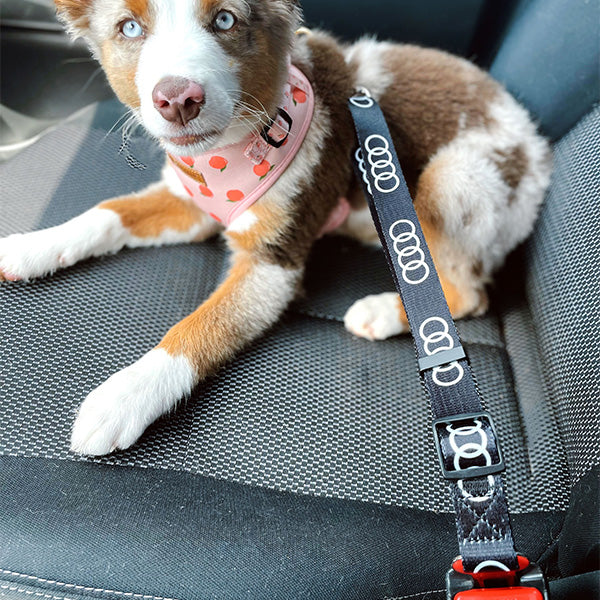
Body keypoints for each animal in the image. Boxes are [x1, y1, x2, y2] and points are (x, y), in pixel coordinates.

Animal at [0, 1, 552, 454]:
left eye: (225, 19)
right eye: (129, 28)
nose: (178, 100)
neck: (236, 149)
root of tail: (540, 151)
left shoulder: (272, 265)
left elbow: (201, 325)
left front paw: (125, 395)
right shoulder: (189, 204)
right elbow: (107, 213)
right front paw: (33, 246)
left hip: (456, 177)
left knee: (466, 293)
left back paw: (381, 312)